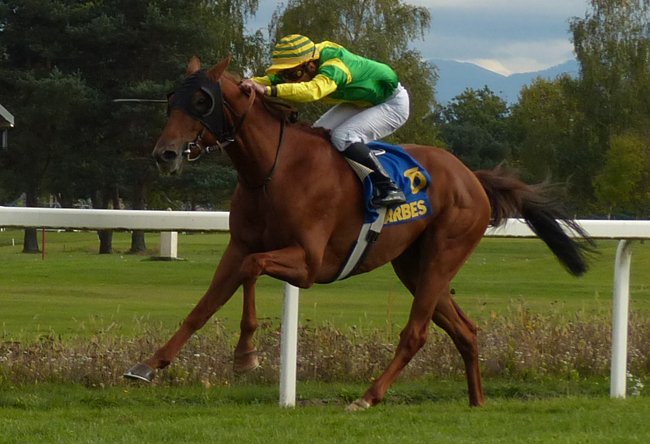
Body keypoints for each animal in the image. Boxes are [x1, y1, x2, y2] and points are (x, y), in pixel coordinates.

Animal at [125, 55, 593, 410]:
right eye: (171, 99)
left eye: (202, 100)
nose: (165, 154)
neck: (272, 171)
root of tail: (472, 178)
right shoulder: (239, 245)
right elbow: (206, 304)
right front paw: (148, 365)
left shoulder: (309, 263)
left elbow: (253, 269)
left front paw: (245, 355)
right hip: (415, 266)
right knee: (465, 330)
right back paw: (477, 401)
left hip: (444, 253)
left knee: (416, 333)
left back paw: (368, 397)